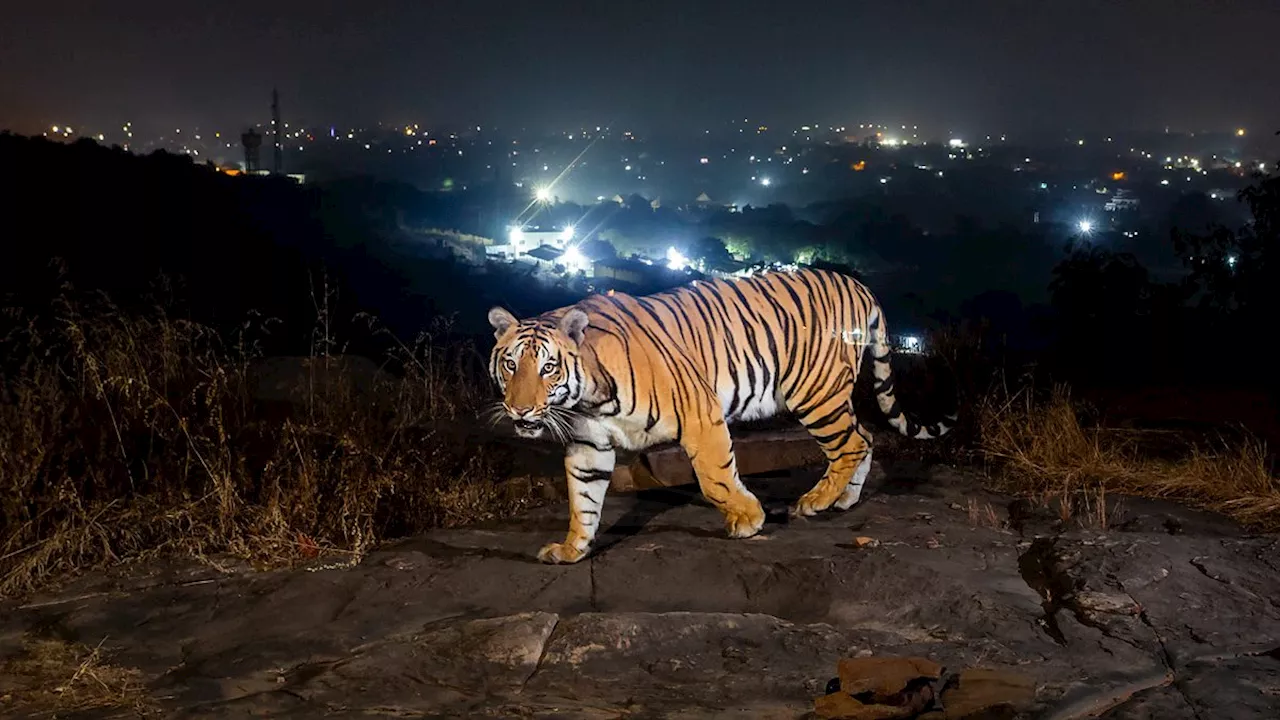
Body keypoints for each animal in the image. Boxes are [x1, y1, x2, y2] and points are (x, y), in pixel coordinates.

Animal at [486, 263, 952, 561]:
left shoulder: (701, 415)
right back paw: (843, 500)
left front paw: (748, 520)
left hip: (815, 392)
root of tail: (857, 284)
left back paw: (814, 502)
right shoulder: (588, 443)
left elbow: (715, 480)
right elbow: (582, 501)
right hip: (833, 394)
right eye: (511, 364)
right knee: (866, 438)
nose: (520, 408)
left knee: (851, 444)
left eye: (548, 367)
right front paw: (571, 551)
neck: (589, 397)